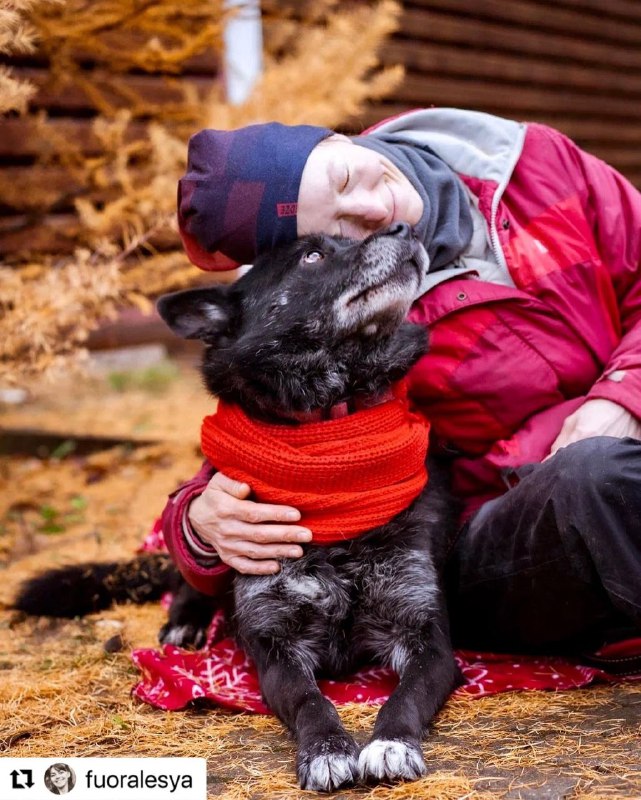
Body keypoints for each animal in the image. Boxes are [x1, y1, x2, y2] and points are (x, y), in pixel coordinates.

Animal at [13, 222, 456, 792]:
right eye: (313, 255)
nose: (405, 226)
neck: (329, 434)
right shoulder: (274, 647)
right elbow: (311, 701)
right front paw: (326, 750)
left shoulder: (427, 637)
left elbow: (405, 695)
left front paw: (391, 744)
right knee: (189, 577)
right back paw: (185, 622)